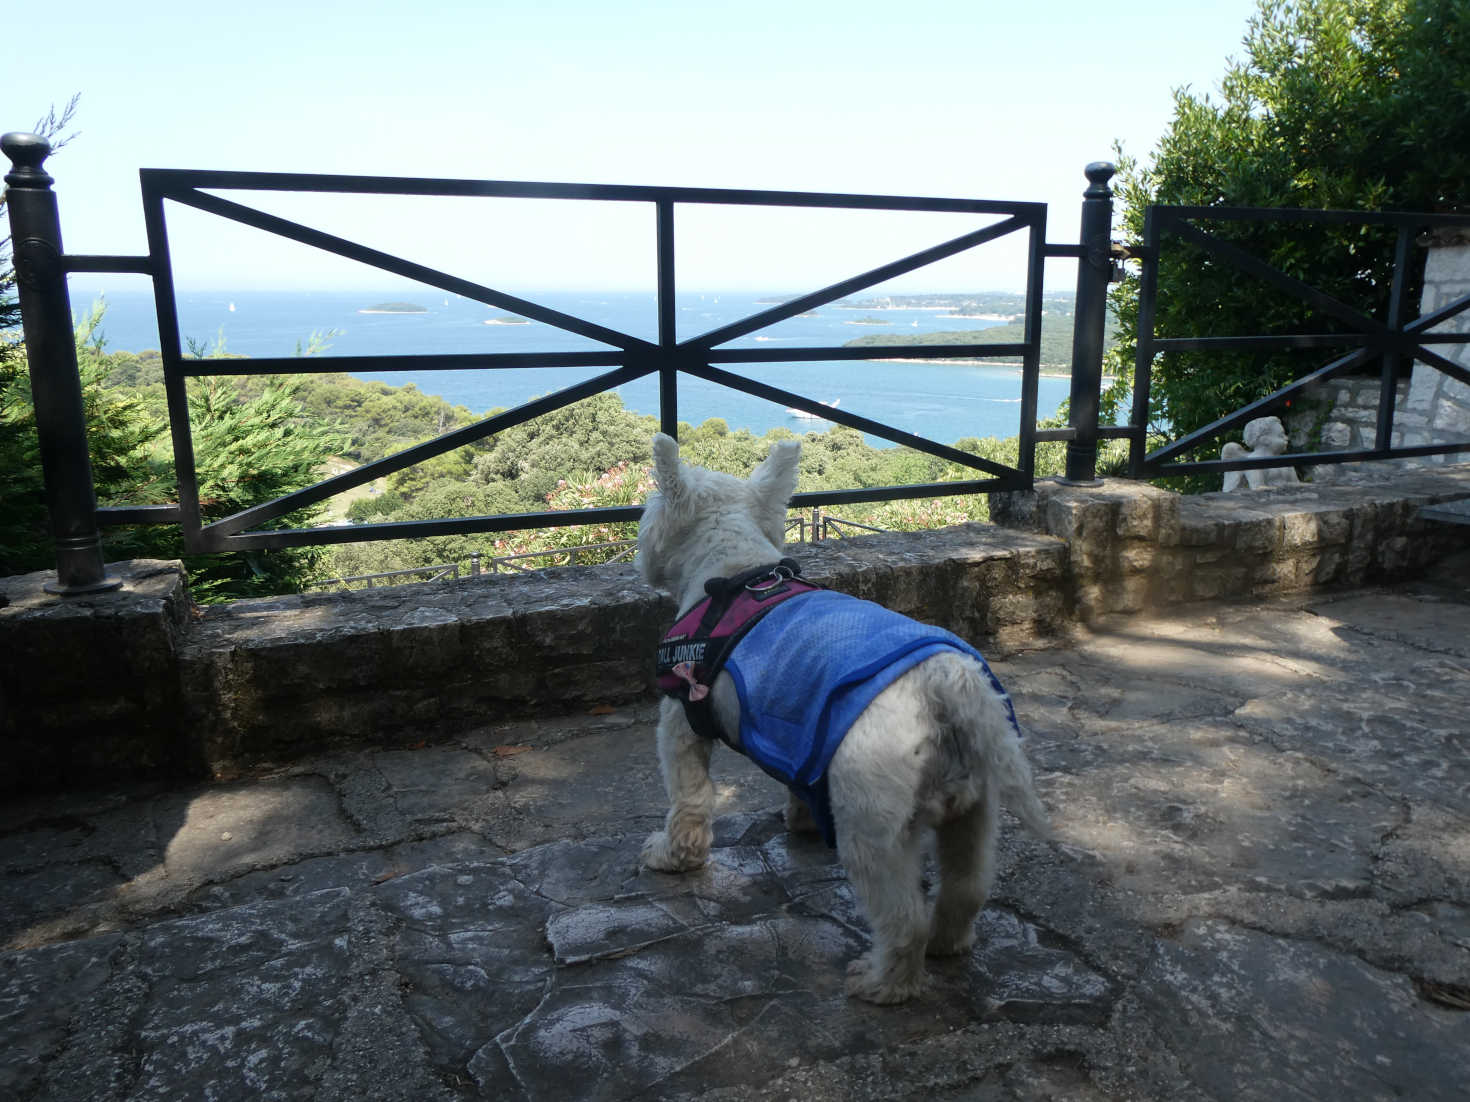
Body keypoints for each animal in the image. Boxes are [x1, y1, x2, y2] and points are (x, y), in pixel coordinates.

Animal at [637, 434, 1052, 1005]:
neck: (732, 569)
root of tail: (948, 682)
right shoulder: (801, 727)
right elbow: (794, 775)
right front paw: (800, 819)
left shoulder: (682, 723)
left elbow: (688, 798)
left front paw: (671, 854)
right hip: (977, 803)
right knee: (967, 885)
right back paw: (948, 943)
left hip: (870, 819)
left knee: (902, 915)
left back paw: (881, 982)